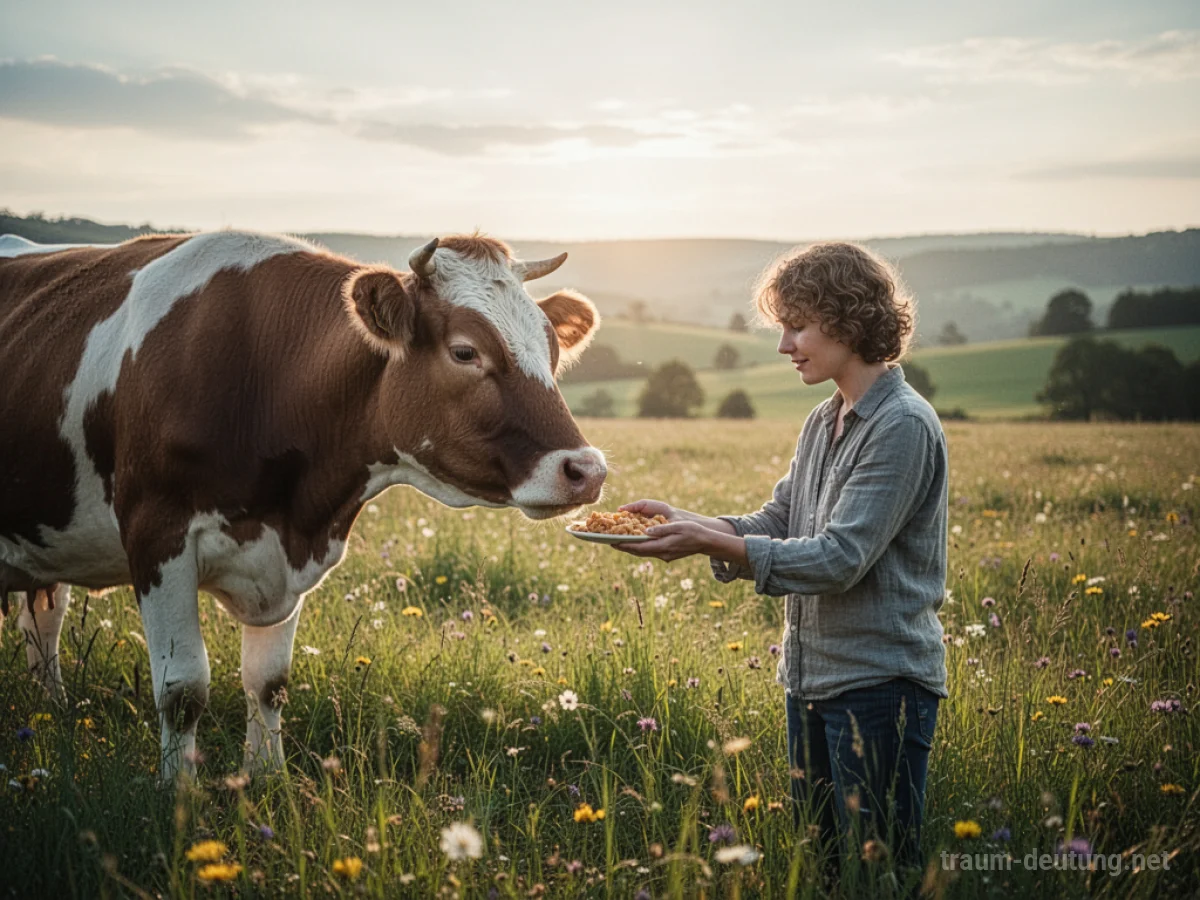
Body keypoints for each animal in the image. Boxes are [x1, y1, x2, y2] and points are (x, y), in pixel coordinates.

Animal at [0, 229, 607, 781]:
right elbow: (182, 689)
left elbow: (268, 682)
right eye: (464, 351)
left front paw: (270, 780)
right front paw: (178, 794)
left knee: (43, 620)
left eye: (553, 350)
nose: (587, 470)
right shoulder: (157, 532)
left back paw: (52, 709)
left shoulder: (289, 549)